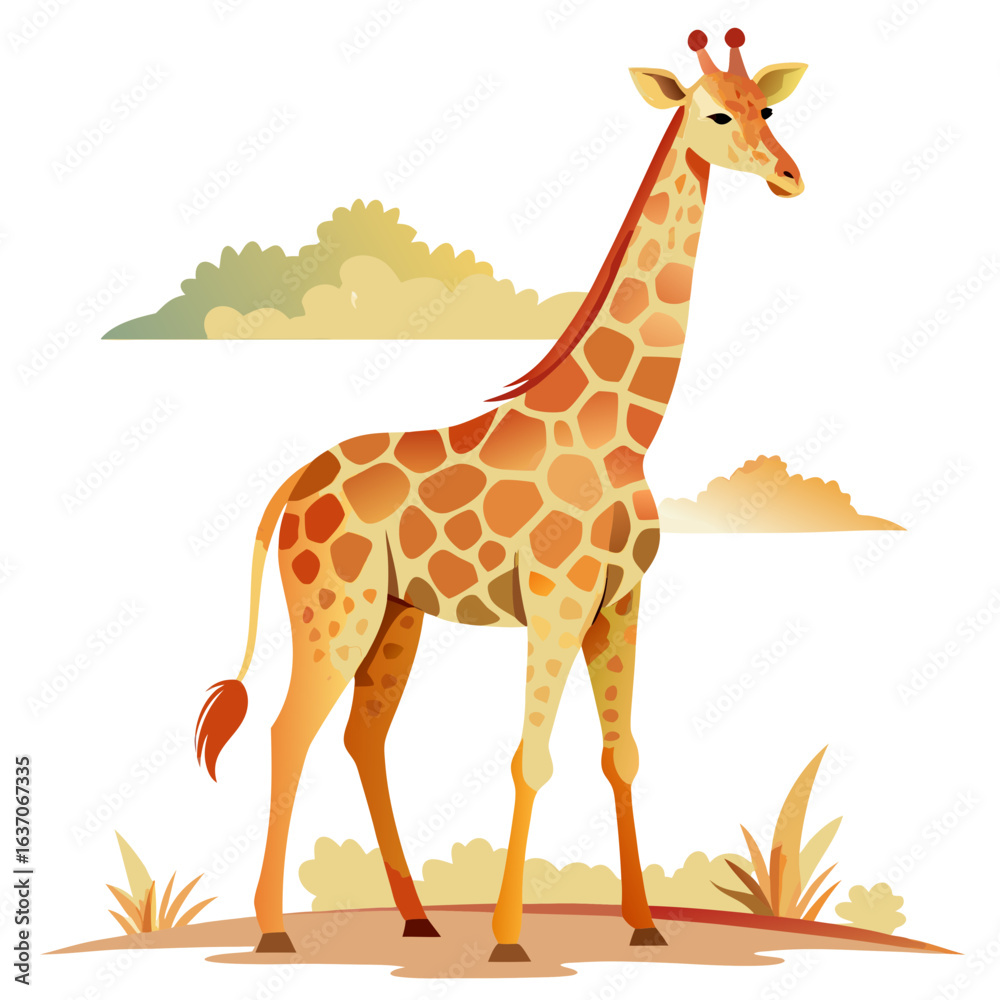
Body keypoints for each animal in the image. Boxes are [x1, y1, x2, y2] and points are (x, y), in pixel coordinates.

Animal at [195, 28, 808, 961]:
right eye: (713, 114)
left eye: (765, 106)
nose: (787, 175)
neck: (623, 426)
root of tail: (292, 487)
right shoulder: (557, 595)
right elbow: (532, 755)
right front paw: (509, 938)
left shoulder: (619, 598)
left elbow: (621, 754)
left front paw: (644, 924)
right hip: (335, 606)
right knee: (289, 730)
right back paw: (273, 929)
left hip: (395, 614)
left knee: (363, 736)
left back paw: (415, 915)